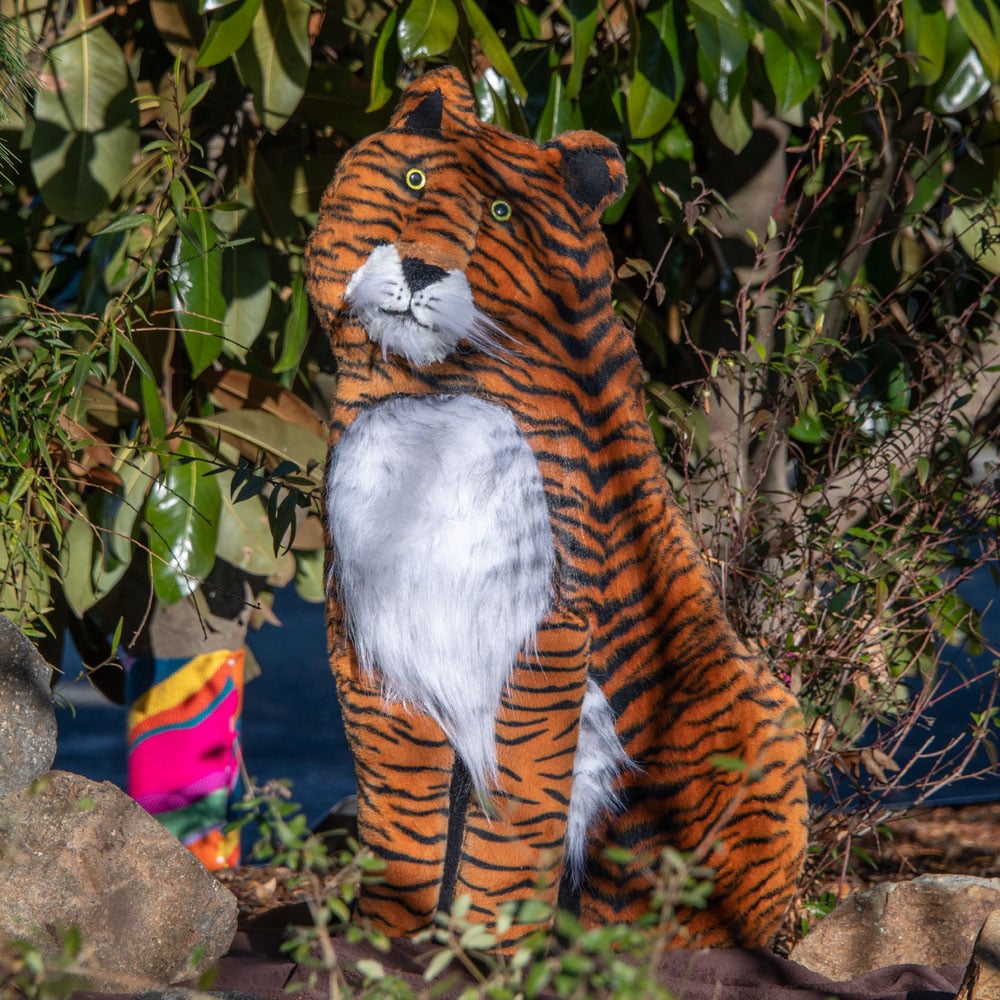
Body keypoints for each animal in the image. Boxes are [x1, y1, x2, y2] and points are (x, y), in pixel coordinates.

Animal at [305, 65, 808, 950]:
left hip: (753, 713)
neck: (436, 394)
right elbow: (402, 810)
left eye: (503, 214)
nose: (422, 269)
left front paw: (489, 948)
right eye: (415, 181)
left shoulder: (546, 633)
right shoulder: (369, 639)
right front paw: (391, 941)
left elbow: (516, 811)